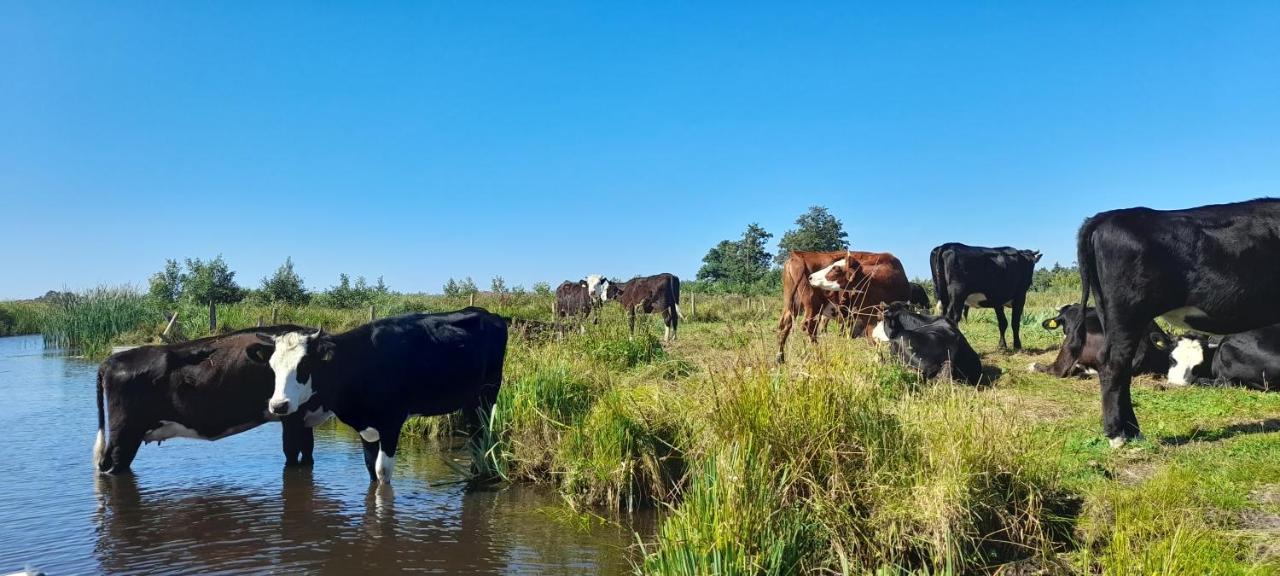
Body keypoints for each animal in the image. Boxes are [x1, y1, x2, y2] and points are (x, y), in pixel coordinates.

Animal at [94, 326, 320, 473]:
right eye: (272, 367)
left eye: (304, 364)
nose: (279, 404)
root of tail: (111, 360)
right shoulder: (291, 416)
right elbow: (292, 452)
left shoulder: (305, 418)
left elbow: (308, 452)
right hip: (124, 433)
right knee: (113, 463)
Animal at [249, 308, 504, 483]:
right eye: (272, 366)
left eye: (304, 366)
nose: (279, 405)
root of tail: (489, 314)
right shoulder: (367, 427)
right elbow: (371, 467)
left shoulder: (391, 423)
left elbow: (383, 471)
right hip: (470, 400)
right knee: (475, 434)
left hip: (487, 394)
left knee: (482, 433)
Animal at [1064, 198, 1280, 445]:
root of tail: (1107, 216)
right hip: (1127, 312)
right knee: (1112, 364)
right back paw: (1118, 435)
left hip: (1108, 311)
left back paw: (1133, 431)